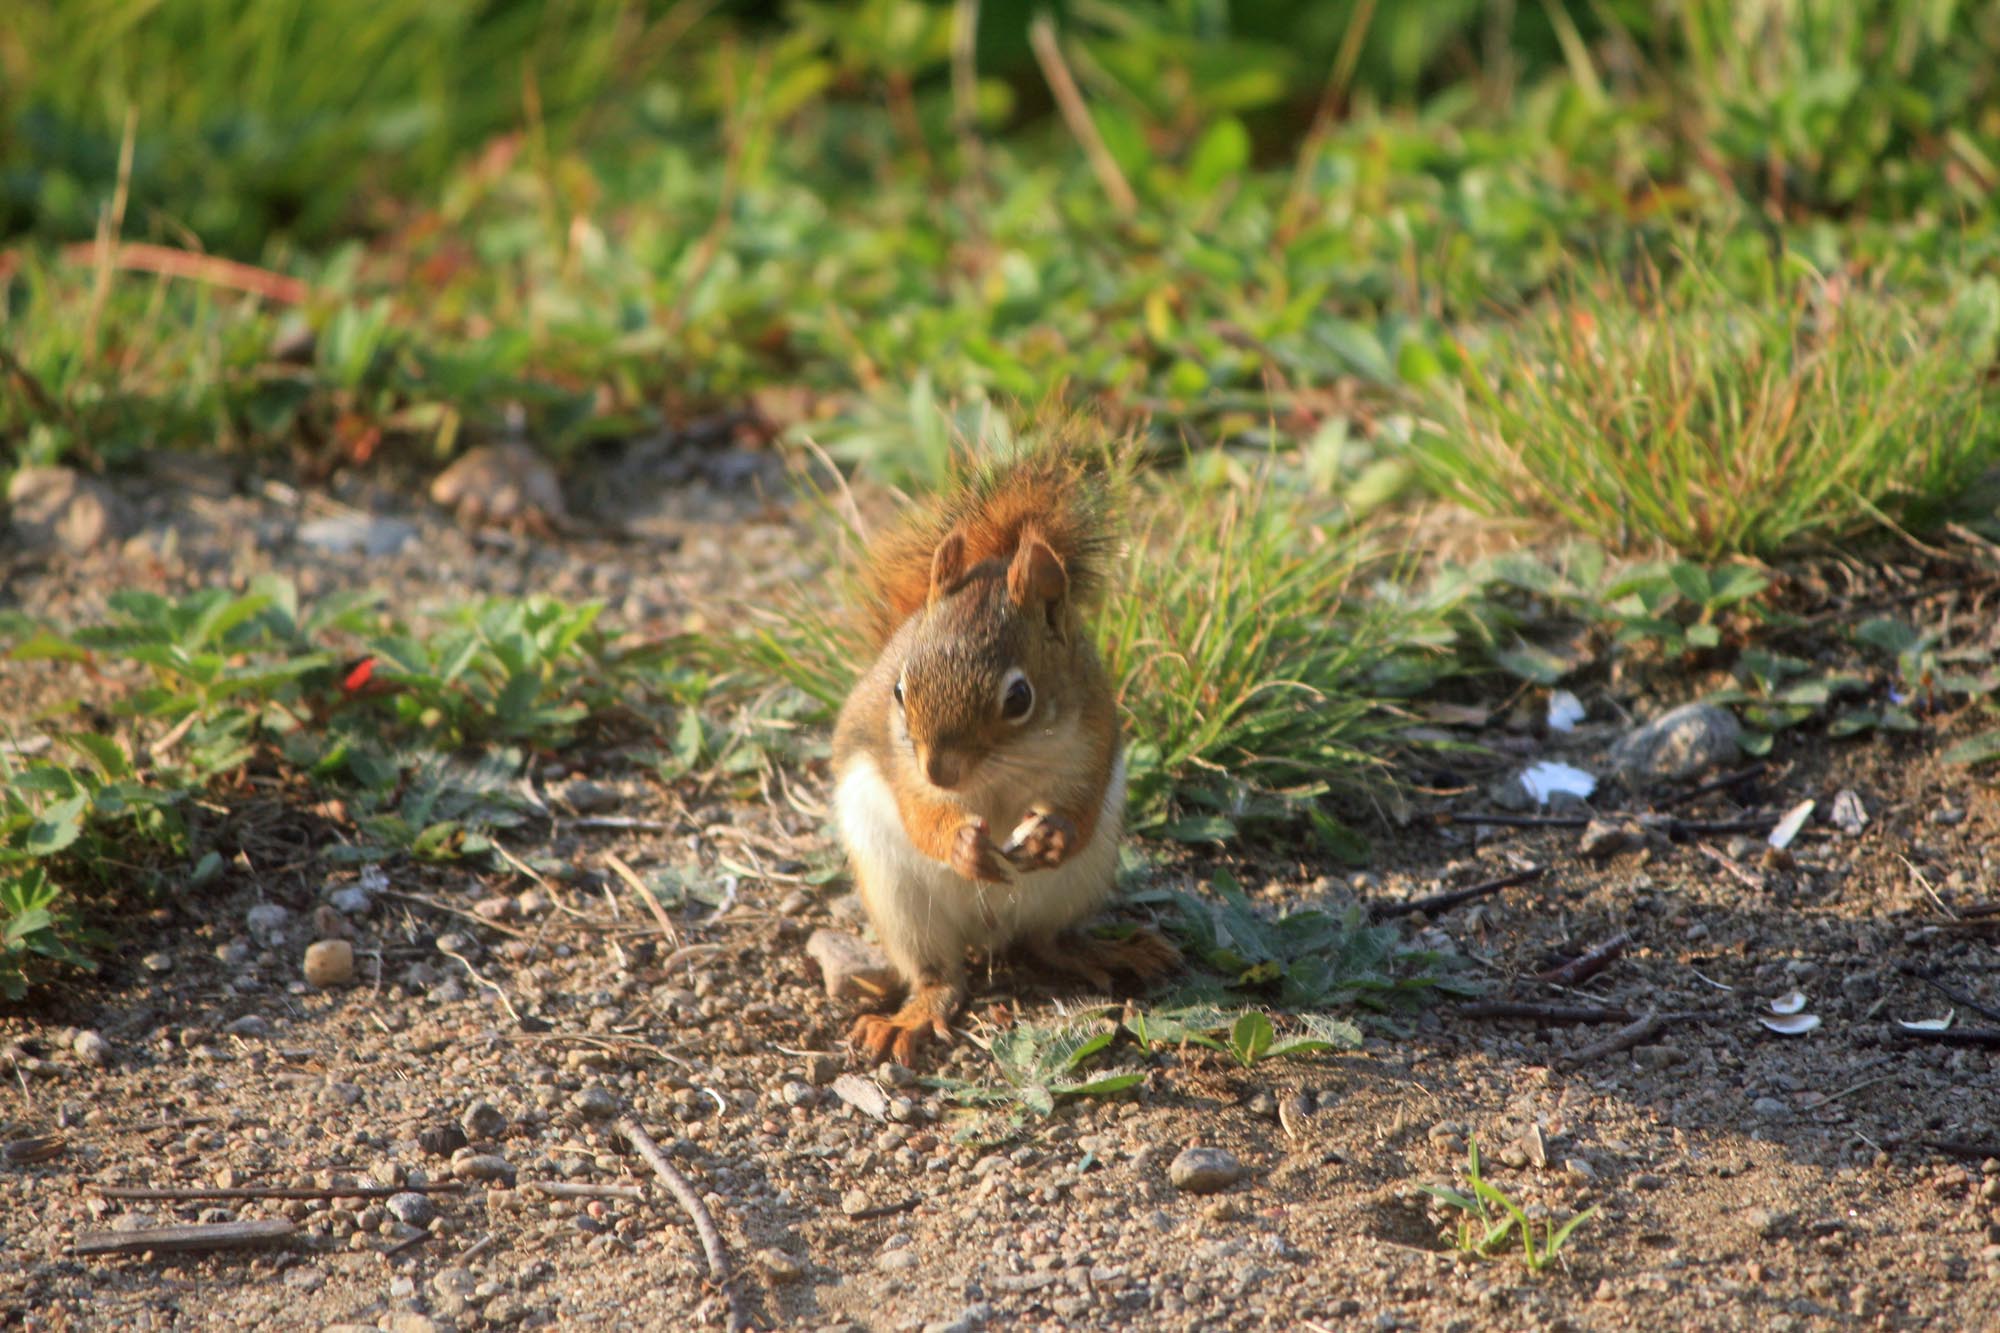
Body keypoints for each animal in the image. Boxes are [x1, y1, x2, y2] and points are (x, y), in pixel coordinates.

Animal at [832, 446, 1176, 1056]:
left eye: (1019, 698)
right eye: (898, 691)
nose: (941, 772)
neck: (996, 777)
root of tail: (986, 936)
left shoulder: (1093, 736)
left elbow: (1083, 803)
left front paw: (1053, 834)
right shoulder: (903, 766)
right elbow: (919, 814)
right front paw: (961, 845)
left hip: (1077, 884)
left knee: (1047, 942)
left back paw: (1105, 951)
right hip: (901, 905)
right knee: (939, 976)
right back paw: (911, 1016)